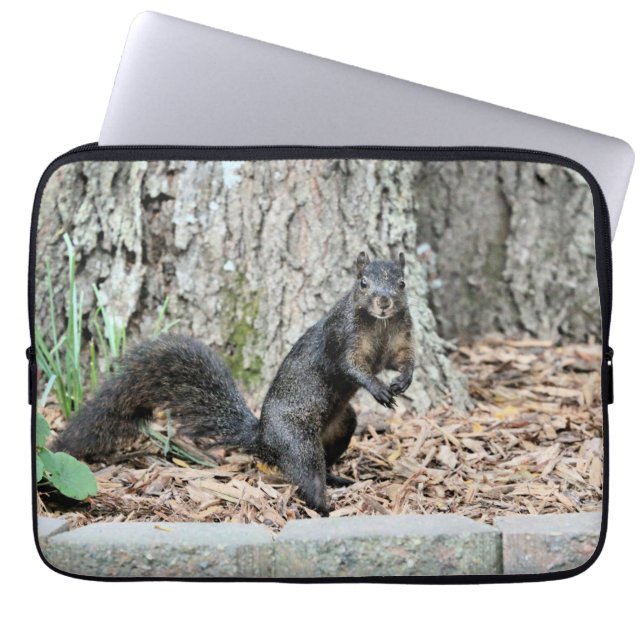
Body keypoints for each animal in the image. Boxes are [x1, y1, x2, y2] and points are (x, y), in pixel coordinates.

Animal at [54, 251, 415, 515]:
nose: (384, 302)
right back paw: (323, 506)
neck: (380, 325)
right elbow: (351, 367)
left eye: (401, 283)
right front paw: (378, 388)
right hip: (296, 438)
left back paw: (336, 477)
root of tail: (262, 439)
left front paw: (404, 380)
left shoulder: (400, 339)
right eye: (363, 283)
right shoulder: (342, 337)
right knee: (306, 472)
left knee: (324, 460)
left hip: (341, 425)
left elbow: (404, 360)